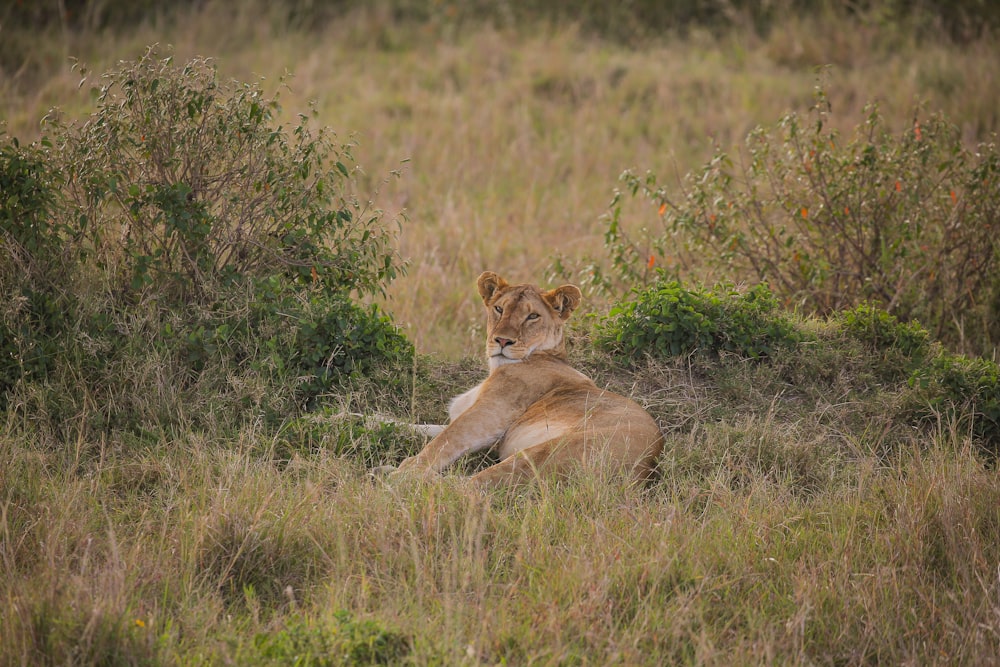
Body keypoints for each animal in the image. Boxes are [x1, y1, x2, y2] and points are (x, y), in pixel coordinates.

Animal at [380, 268, 664, 488]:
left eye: (532, 316)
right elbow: (416, 427)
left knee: (472, 486)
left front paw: (407, 468)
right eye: (499, 309)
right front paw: (371, 420)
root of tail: (645, 473)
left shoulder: (489, 414)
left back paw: (390, 476)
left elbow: (443, 443)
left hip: (542, 454)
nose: (502, 341)